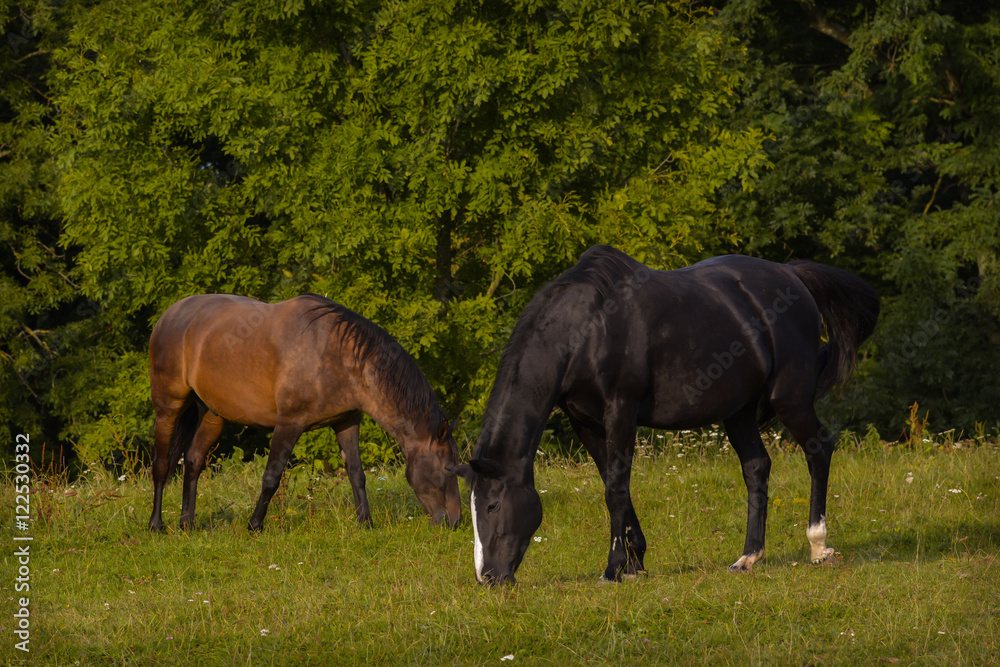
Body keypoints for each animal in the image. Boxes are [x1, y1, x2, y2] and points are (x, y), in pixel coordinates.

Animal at [147, 293, 461, 532]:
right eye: (447, 467)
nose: (456, 521)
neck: (337, 355)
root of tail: (169, 315)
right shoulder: (289, 423)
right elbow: (272, 476)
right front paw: (254, 525)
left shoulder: (347, 422)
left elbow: (357, 473)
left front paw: (366, 523)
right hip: (168, 406)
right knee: (162, 463)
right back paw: (156, 524)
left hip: (212, 414)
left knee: (193, 461)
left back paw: (187, 524)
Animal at [449, 245, 879, 585]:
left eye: (492, 505)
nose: (488, 578)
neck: (588, 330)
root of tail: (791, 273)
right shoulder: (585, 421)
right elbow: (614, 484)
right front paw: (635, 563)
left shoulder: (620, 411)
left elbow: (615, 488)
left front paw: (613, 568)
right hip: (738, 412)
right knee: (757, 467)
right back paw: (748, 556)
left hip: (791, 398)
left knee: (819, 450)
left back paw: (818, 546)